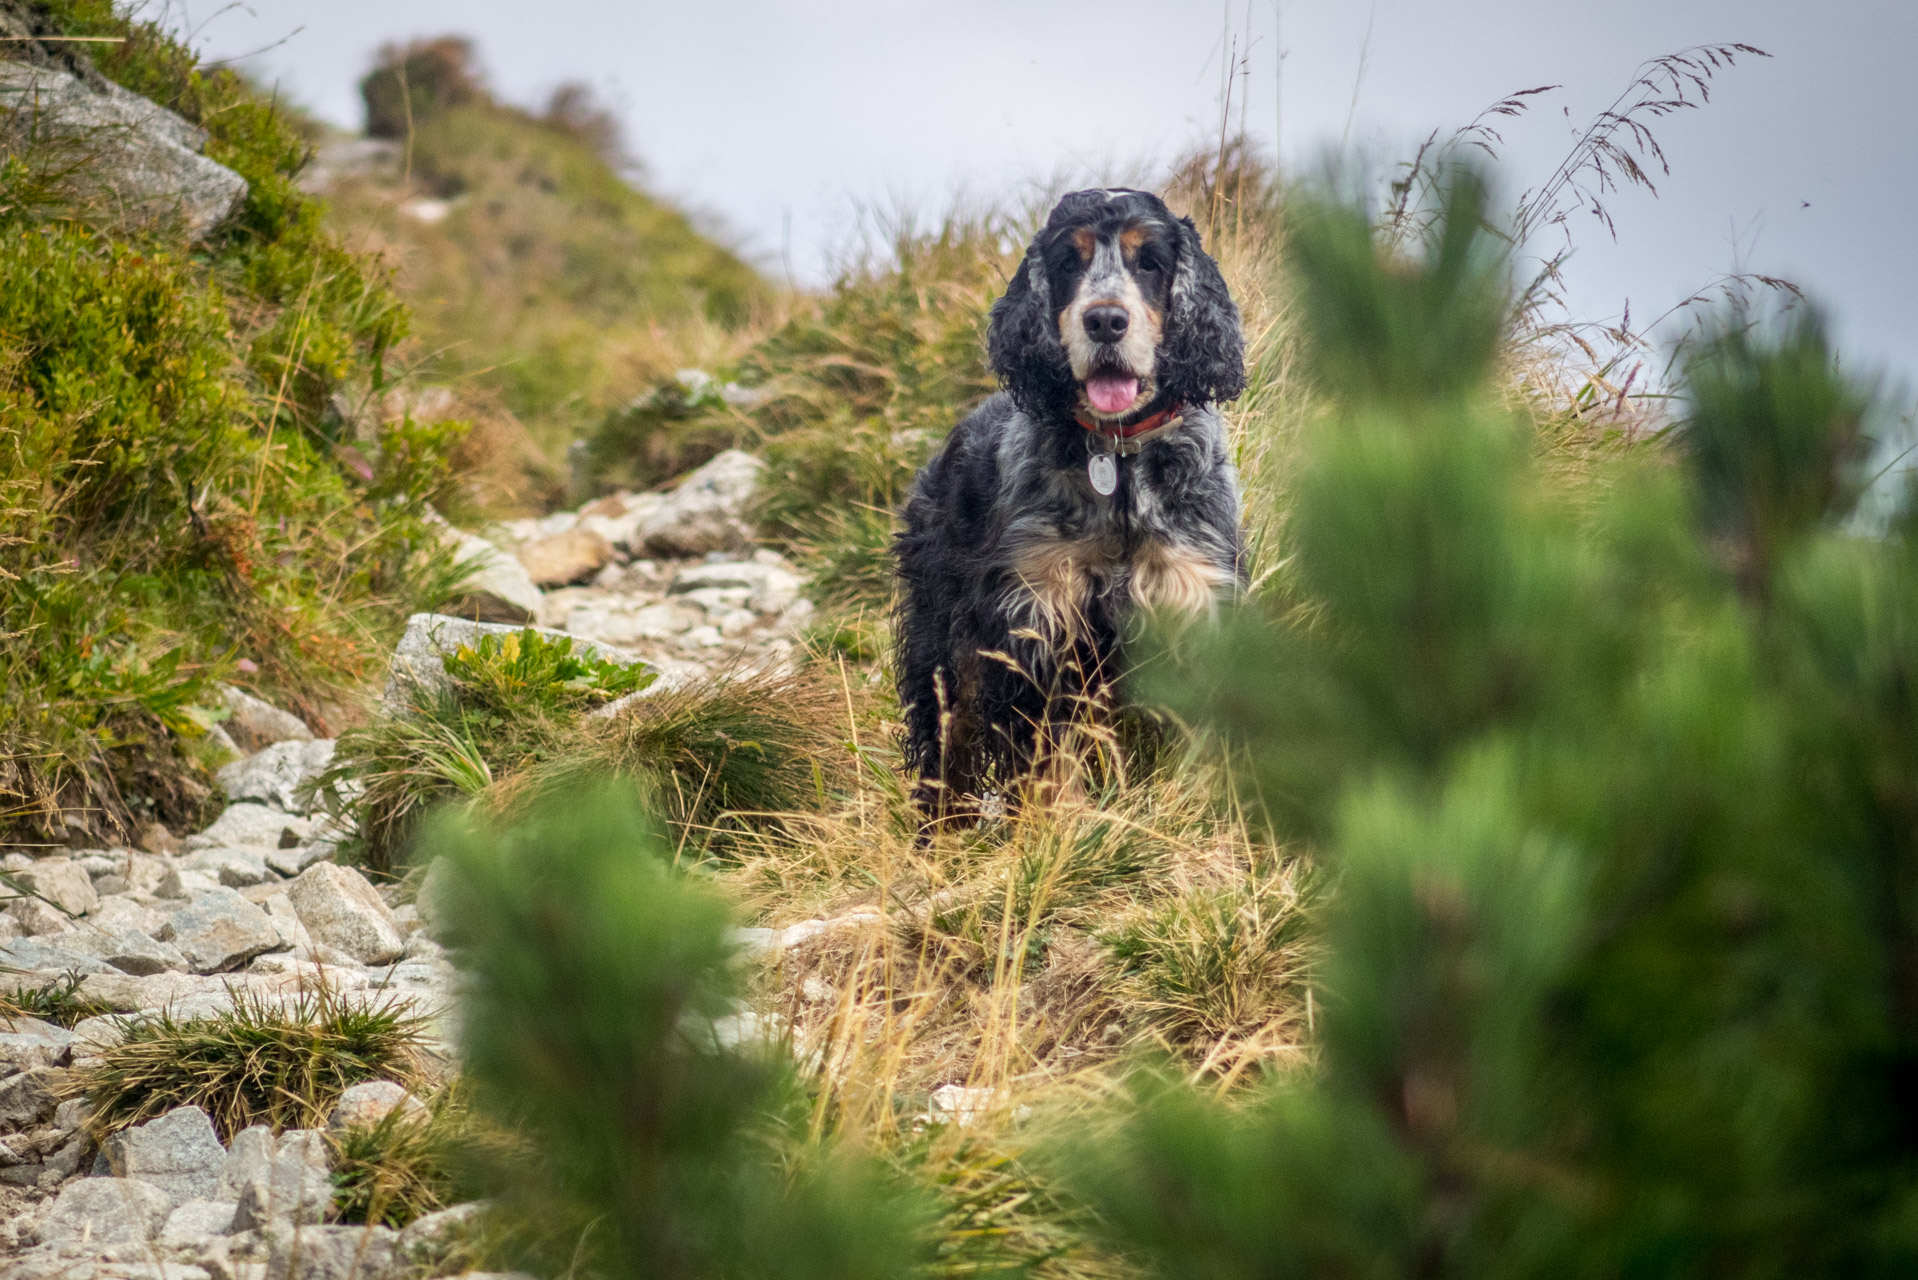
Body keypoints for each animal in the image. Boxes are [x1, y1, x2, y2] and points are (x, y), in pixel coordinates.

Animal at [893, 185, 1250, 817]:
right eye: (1067, 262)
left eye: (1149, 261)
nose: (1105, 320)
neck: (1119, 459)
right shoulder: (1039, 621)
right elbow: (1049, 761)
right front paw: (1060, 824)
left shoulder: (1194, 600)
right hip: (946, 643)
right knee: (947, 751)